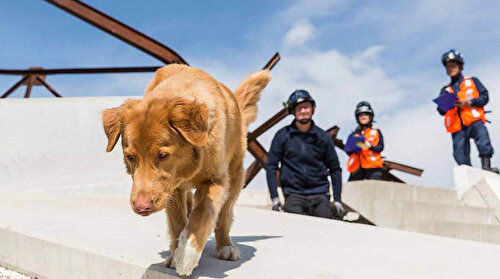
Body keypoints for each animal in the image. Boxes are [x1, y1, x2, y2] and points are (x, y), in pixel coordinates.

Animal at [102, 64, 272, 276]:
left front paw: (187, 254)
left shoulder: (216, 180)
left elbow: (203, 213)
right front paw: (176, 254)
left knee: (224, 215)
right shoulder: (172, 190)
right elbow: (178, 222)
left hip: (235, 175)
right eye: (130, 157)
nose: (142, 207)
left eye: (162, 155)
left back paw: (225, 246)